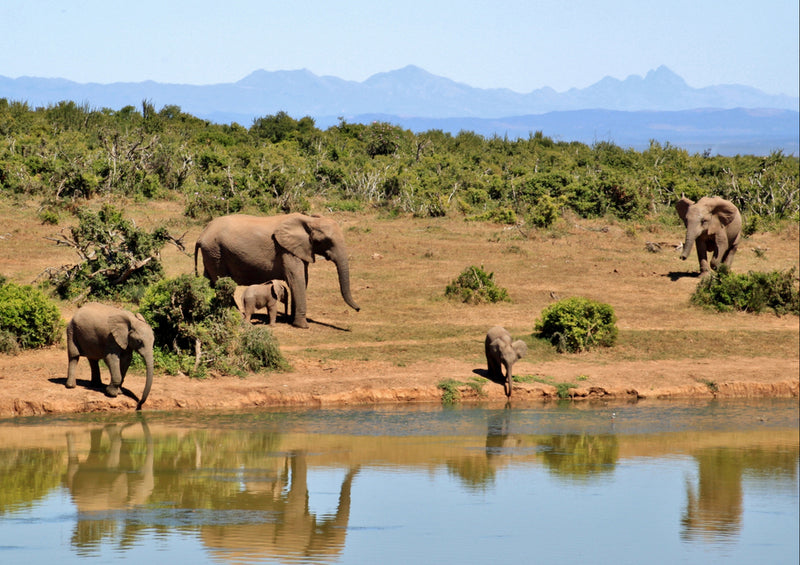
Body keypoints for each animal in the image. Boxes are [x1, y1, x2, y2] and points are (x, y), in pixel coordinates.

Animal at [194, 210, 360, 326]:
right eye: (326, 241)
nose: (358, 309)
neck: (309, 220)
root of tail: (201, 234)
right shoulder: (286, 250)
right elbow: (296, 279)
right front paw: (302, 325)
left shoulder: (299, 249)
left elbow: (302, 279)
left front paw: (293, 320)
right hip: (216, 251)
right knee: (222, 283)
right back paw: (237, 315)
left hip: (211, 253)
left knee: (210, 281)